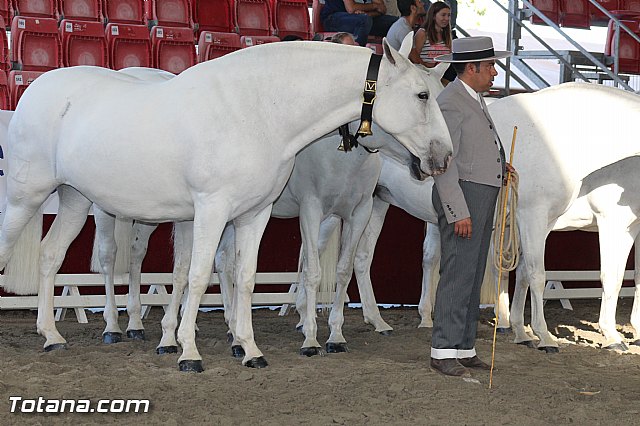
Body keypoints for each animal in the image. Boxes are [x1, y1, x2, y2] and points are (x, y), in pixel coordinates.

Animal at [0, 35, 452, 372]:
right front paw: (188, 351)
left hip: (74, 200)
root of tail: (33, 90)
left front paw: (250, 349)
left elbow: (246, 278)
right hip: (29, 199)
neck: (258, 110)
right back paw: (113, 327)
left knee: (50, 255)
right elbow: (199, 276)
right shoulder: (212, 209)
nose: (443, 156)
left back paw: (52, 336)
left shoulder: (254, 215)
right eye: (422, 94)